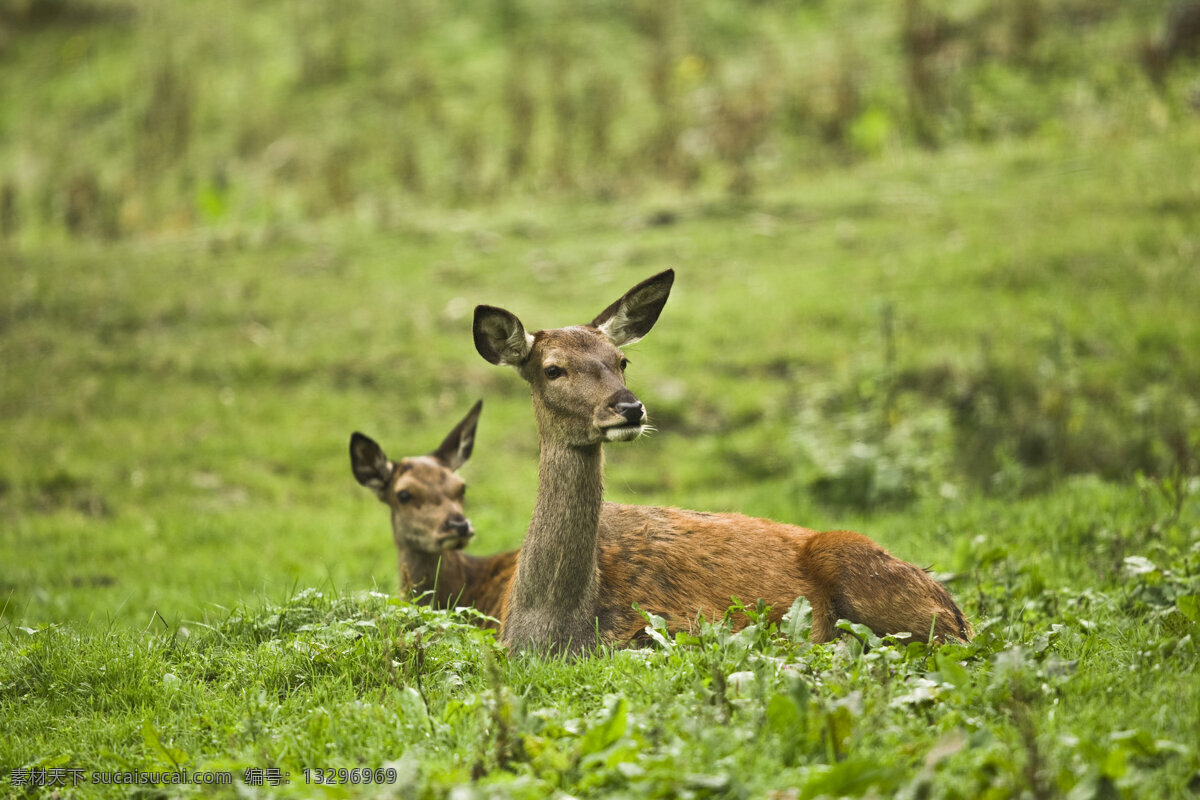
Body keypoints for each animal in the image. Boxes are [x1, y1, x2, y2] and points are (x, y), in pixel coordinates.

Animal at [473, 269, 973, 656]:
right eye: (553, 369)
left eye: (622, 360)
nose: (630, 408)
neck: (555, 632)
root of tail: (957, 610)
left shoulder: (669, 629)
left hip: (869, 574)